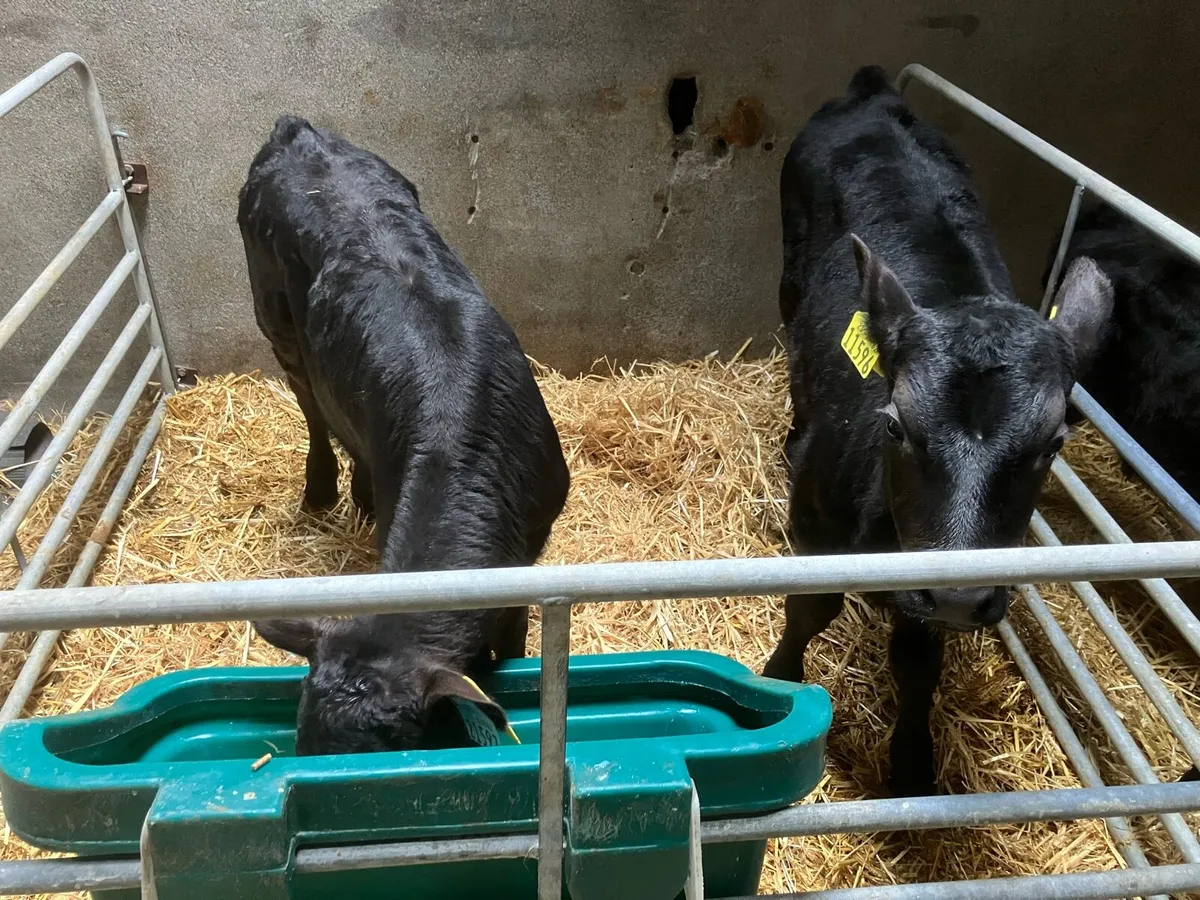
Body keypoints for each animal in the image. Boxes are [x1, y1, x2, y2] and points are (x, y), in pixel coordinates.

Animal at [237, 115, 570, 755]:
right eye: (301, 743)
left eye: (383, 746)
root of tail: (297, 131)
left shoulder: (530, 547)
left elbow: (512, 634)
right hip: (272, 314)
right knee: (311, 404)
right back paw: (321, 491)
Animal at [763, 66, 1112, 796]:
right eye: (895, 424)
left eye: (1052, 446)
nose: (957, 594)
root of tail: (872, 95)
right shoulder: (816, 524)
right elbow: (810, 607)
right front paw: (780, 679)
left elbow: (917, 658)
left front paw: (913, 761)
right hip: (788, 272)